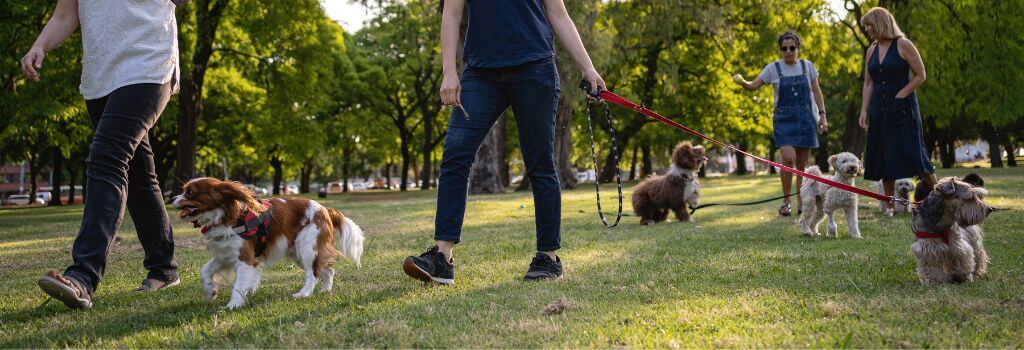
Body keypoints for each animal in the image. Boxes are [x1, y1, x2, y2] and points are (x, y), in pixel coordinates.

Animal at [174, 178, 366, 309]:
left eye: (189, 193)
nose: (172, 199)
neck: (228, 217)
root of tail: (326, 209)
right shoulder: (225, 255)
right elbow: (205, 270)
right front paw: (210, 291)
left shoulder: (246, 259)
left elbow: (238, 285)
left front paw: (233, 305)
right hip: (297, 250)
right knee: (326, 270)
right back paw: (325, 290)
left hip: (306, 247)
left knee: (312, 274)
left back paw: (303, 294)